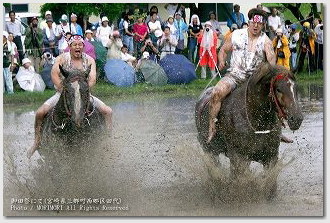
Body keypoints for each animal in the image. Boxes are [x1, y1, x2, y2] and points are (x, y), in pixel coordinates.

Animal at [195, 63, 302, 199]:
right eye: (278, 89)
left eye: (295, 88)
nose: (297, 118)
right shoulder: (238, 158)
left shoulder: (271, 157)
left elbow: (270, 186)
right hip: (209, 151)